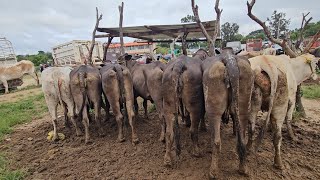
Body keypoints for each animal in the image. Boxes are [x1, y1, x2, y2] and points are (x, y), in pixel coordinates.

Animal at [202, 50, 255, 178]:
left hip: (213, 110)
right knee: (242, 139)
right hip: (244, 104)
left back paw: (213, 172)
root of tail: (229, 60)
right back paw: (243, 168)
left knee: (216, 141)